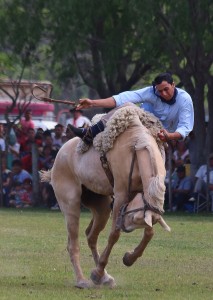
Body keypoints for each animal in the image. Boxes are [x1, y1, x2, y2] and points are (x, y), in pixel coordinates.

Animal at [40, 105, 171, 288]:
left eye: (134, 219)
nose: (125, 225)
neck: (136, 148)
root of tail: (58, 157)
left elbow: (149, 232)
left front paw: (128, 258)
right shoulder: (121, 196)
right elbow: (114, 235)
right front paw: (97, 272)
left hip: (101, 206)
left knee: (91, 236)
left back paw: (105, 277)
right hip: (70, 203)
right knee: (73, 243)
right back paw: (82, 280)